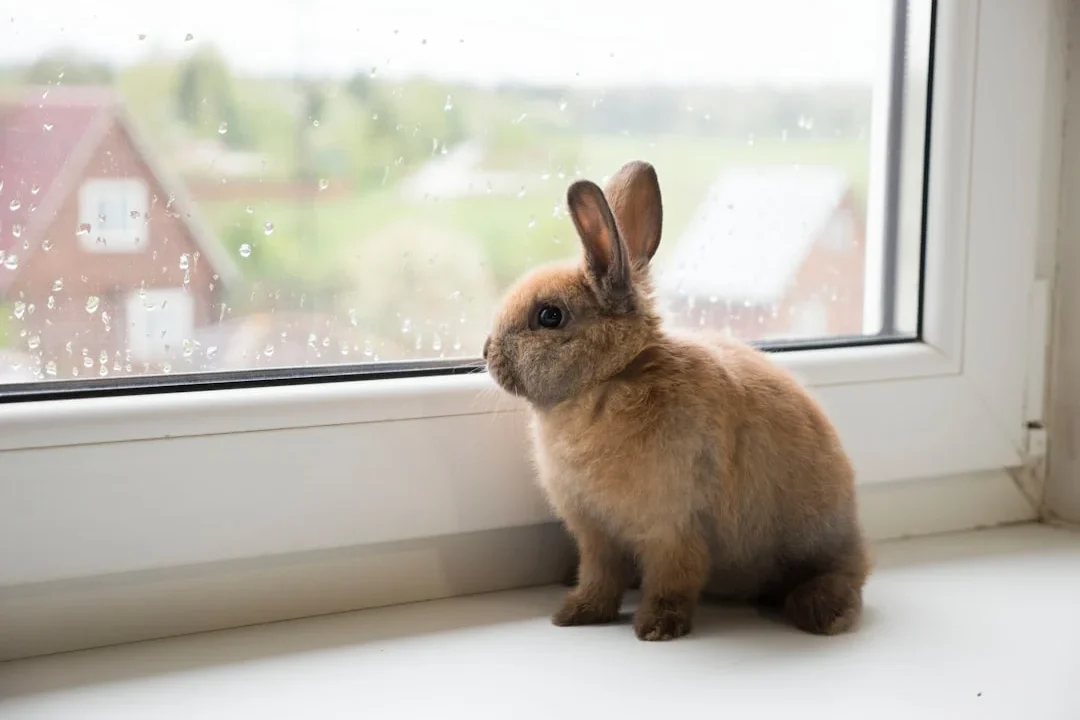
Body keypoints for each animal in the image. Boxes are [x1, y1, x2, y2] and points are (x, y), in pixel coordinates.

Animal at [483, 160, 870, 641]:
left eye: (549, 316)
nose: (486, 352)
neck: (610, 378)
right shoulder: (596, 535)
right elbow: (599, 577)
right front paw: (575, 613)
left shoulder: (672, 528)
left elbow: (674, 578)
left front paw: (657, 627)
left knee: (847, 575)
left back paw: (822, 612)